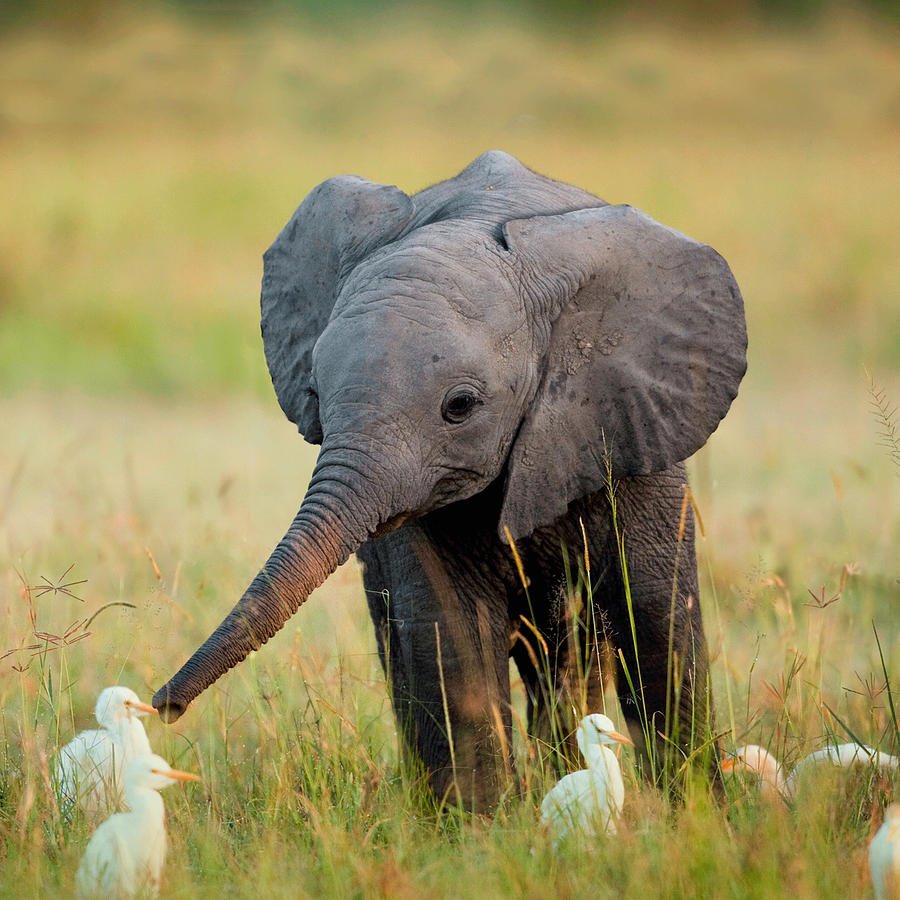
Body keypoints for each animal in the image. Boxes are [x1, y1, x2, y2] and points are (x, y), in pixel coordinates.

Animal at [152, 150, 747, 811]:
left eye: (459, 406)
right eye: (315, 396)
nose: (163, 707)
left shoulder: (633, 425)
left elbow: (656, 617)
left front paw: (699, 815)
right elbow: (449, 633)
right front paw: (480, 828)